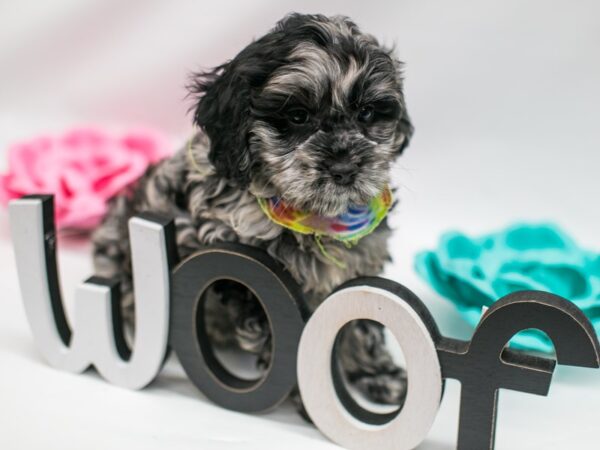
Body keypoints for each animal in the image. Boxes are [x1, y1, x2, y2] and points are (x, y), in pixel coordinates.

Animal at [92, 11, 412, 412]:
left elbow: (362, 325)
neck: (310, 219)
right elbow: (286, 338)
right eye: (297, 116)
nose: (344, 169)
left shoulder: (358, 266)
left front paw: (377, 374)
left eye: (367, 113)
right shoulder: (246, 270)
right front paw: (308, 391)